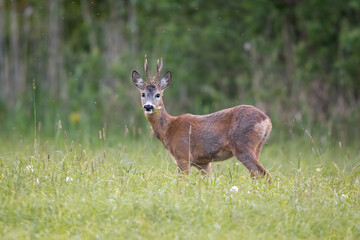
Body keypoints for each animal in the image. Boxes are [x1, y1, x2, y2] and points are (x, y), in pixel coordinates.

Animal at [131, 56, 270, 180]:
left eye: (158, 94)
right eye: (143, 94)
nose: (148, 106)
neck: (169, 129)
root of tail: (267, 121)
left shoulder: (183, 155)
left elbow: (182, 181)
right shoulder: (202, 162)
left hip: (243, 146)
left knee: (263, 174)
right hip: (257, 147)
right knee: (256, 175)